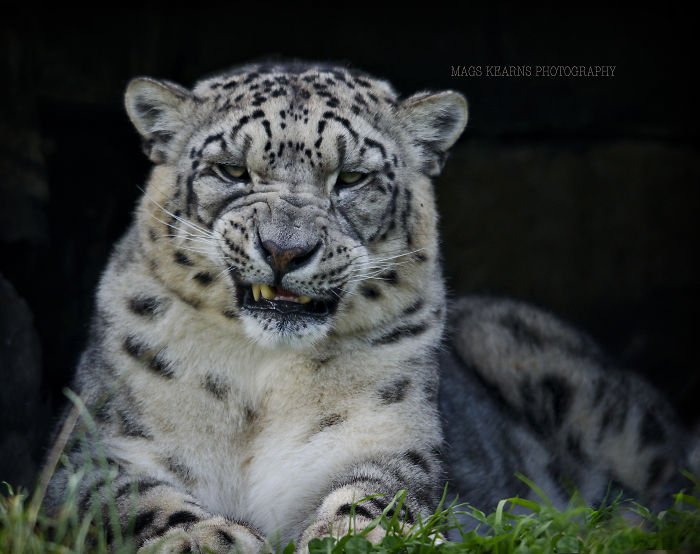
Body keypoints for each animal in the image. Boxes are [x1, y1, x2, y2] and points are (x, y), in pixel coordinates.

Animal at [43, 60, 696, 548]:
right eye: (230, 170)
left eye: (353, 178)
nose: (285, 248)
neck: (261, 382)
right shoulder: (94, 451)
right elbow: (132, 499)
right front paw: (213, 538)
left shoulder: (387, 438)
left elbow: (375, 496)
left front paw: (350, 537)